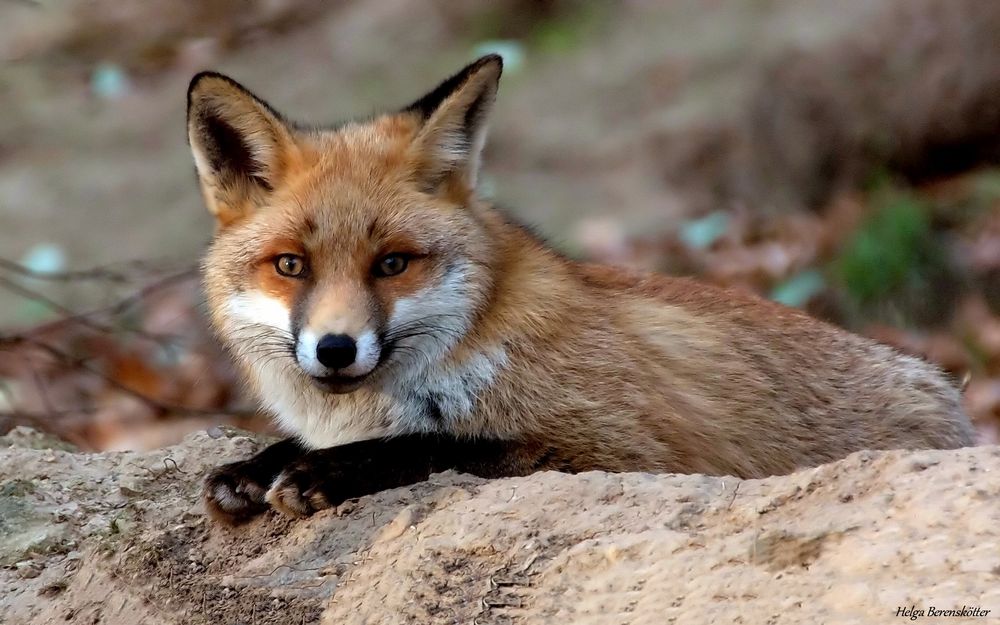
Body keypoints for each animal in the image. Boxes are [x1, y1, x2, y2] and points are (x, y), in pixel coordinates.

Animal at [186, 56, 968, 520]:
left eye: (392, 264)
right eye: (291, 266)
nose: (336, 349)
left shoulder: (628, 453)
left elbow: (439, 443)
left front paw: (326, 470)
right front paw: (257, 465)